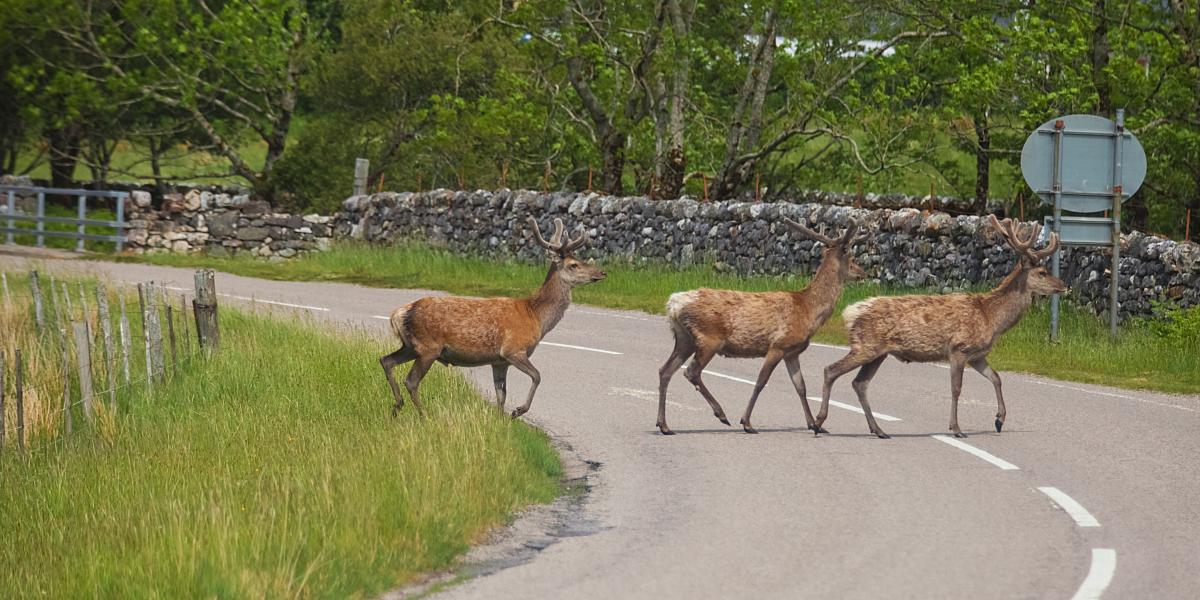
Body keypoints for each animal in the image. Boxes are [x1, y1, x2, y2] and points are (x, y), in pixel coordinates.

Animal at [384, 218, 604, 420]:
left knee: (386, 361)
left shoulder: (499, 361)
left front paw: (499, 421)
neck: (536, 317)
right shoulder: (513, 349)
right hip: (429, 347)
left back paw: (397, 406)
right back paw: (423, 414)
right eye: (573, 264)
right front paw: (517, 411)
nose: (601, 272)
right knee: (411, 380)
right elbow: (537, 376)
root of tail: (399, 313)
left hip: (411, 346)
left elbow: (501, 394)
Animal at [662, 218, 868, 434]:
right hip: (709, 337)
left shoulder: (792, 352)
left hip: (684, 339)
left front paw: (814, 424)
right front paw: (747, 422)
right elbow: (761, 382)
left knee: (665, 371)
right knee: (691, 372)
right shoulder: (778, 345)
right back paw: (721, 414)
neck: (808, 310)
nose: (862, 273)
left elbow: (800, 386)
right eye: (851, 256)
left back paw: (664, 425)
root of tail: (673, 304)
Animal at [820, 213, 1065, 439]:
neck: (991, 318)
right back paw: (819, 422)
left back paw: (878, 430)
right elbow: (956, 389)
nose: (1063, 285)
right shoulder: (958, 348)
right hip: (866, 346)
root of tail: (850, 312)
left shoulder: (977, 355)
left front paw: (999, 420)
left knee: (860, 383)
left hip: (878, 352)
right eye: (1042, 272)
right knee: (831, 370)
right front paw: (956, 429)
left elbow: (996, 378)